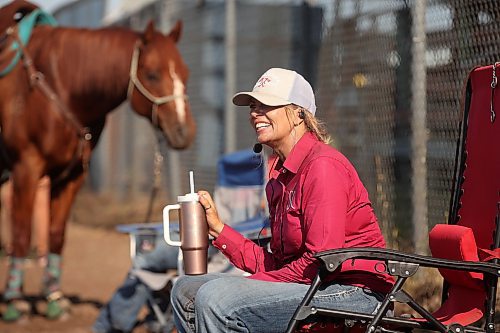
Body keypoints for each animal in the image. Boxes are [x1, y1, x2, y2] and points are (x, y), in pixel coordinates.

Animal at [0, 7, 195, 320]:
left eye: (185, 73)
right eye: (152, 74)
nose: (184, 131)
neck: (59, 85)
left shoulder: (71, 176)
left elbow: (56, 234)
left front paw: (54, 300)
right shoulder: (25, 170)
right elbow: (20, 233)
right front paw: (14, 302)